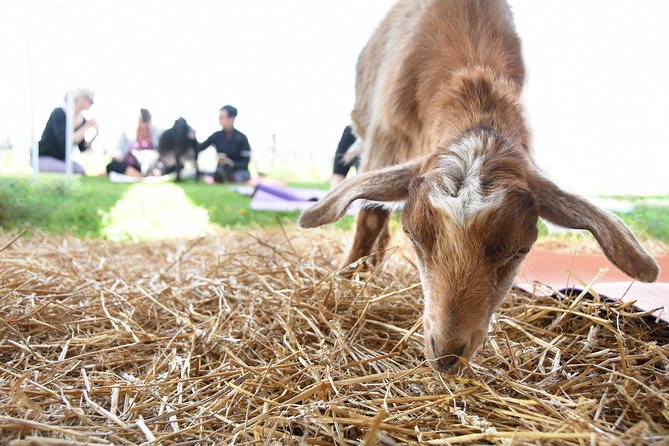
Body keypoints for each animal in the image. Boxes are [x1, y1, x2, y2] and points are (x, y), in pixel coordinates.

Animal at [298, 0, 656, 372]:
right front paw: (347, 278)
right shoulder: (387, 136)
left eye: (520, 250)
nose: (446, 354)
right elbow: (369, 218)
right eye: (414, 236)